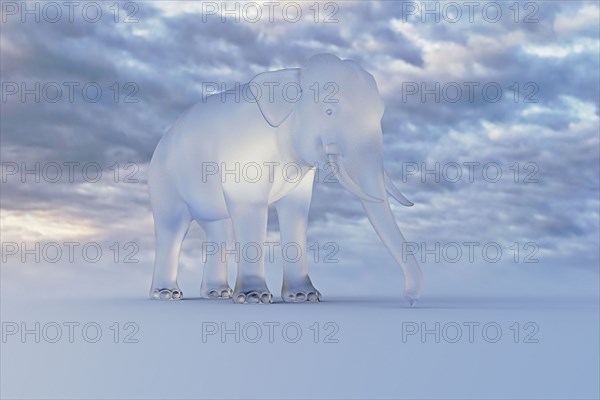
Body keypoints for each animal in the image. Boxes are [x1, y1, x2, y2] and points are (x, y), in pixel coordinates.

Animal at [148, 52, 424, 304]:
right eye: (329, 110)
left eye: (381, 114)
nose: (410, 299)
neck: (291, 77)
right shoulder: (243, 156)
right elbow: (250, 207)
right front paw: (255, 298)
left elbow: (296, 210)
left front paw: (304, 296)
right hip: (165, 179)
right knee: (172, 227)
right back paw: (167, 294)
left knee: (219, 228)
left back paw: (218, 293)